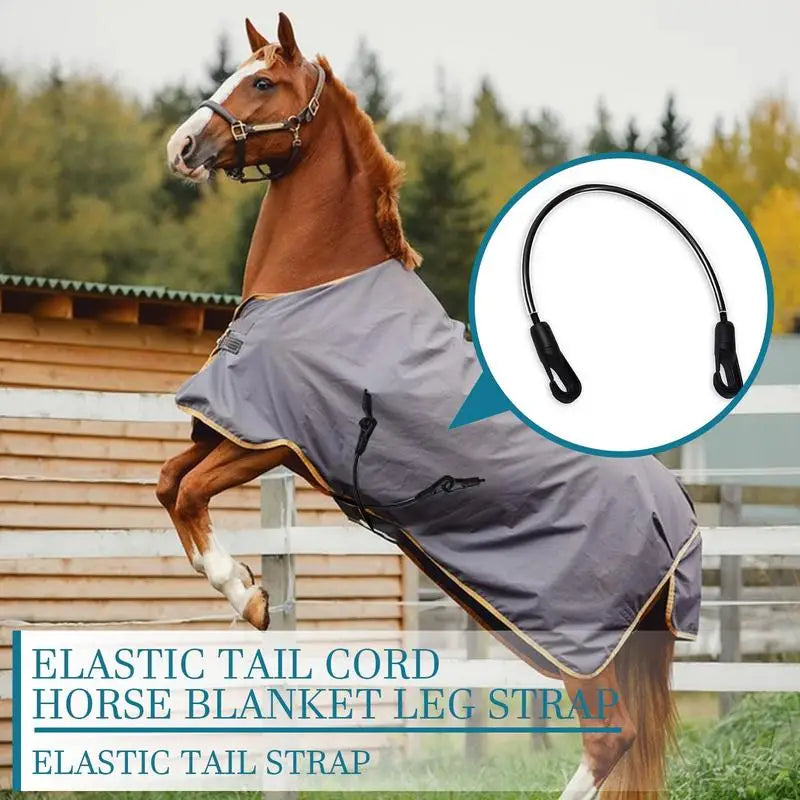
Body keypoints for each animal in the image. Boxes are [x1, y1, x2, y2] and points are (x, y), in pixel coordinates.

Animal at [160, 13, 701, 799]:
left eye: (261, 82)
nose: (182, 146)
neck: (316, 286)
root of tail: (681, 511)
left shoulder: (269, 439)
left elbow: (190, 492)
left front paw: (249, 597)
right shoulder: (226, 427)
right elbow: (169, 483)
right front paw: (252, 595)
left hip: (573, 632)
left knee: (610, 738)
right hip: (526, 619)